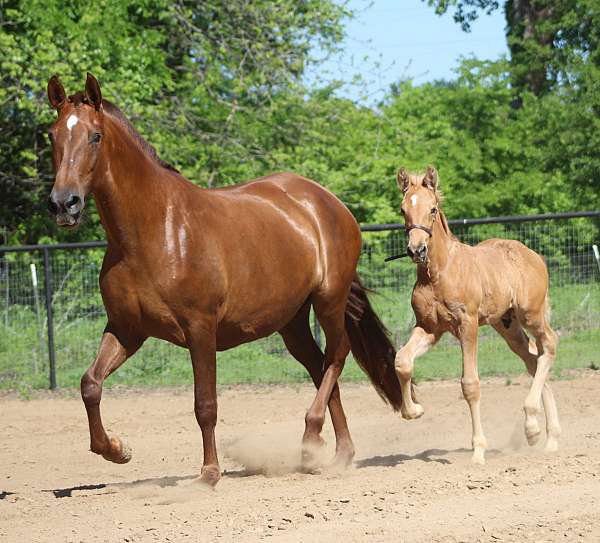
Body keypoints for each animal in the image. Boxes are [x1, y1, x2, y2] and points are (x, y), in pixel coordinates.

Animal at [44, 74, 406, 486]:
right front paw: (117, 450)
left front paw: (209, 473)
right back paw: (336, 454)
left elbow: (205, 403)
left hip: (328, 300)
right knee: (319, 367)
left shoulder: (200, 329)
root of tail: (327, 201)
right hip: (292, 322)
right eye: (52, 135)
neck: (153, 232)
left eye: (95, 136)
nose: (63, 204)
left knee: (336, 356)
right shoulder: (126, 329)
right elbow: (90, 384)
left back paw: (312, 437)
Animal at [394, 168, 556, 466]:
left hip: (531, 314)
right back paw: (544, 435)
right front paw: (413, 411)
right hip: (507, 326)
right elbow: (402, 361)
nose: (416, 250)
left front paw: (478, 450)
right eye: (403, 209)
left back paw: (533, 423)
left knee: (549, 345)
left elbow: (470, 384)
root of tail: (535, 256)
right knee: (533, 358)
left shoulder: (467, 324)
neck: (438, 273)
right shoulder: (429, 328)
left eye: (433, 209)